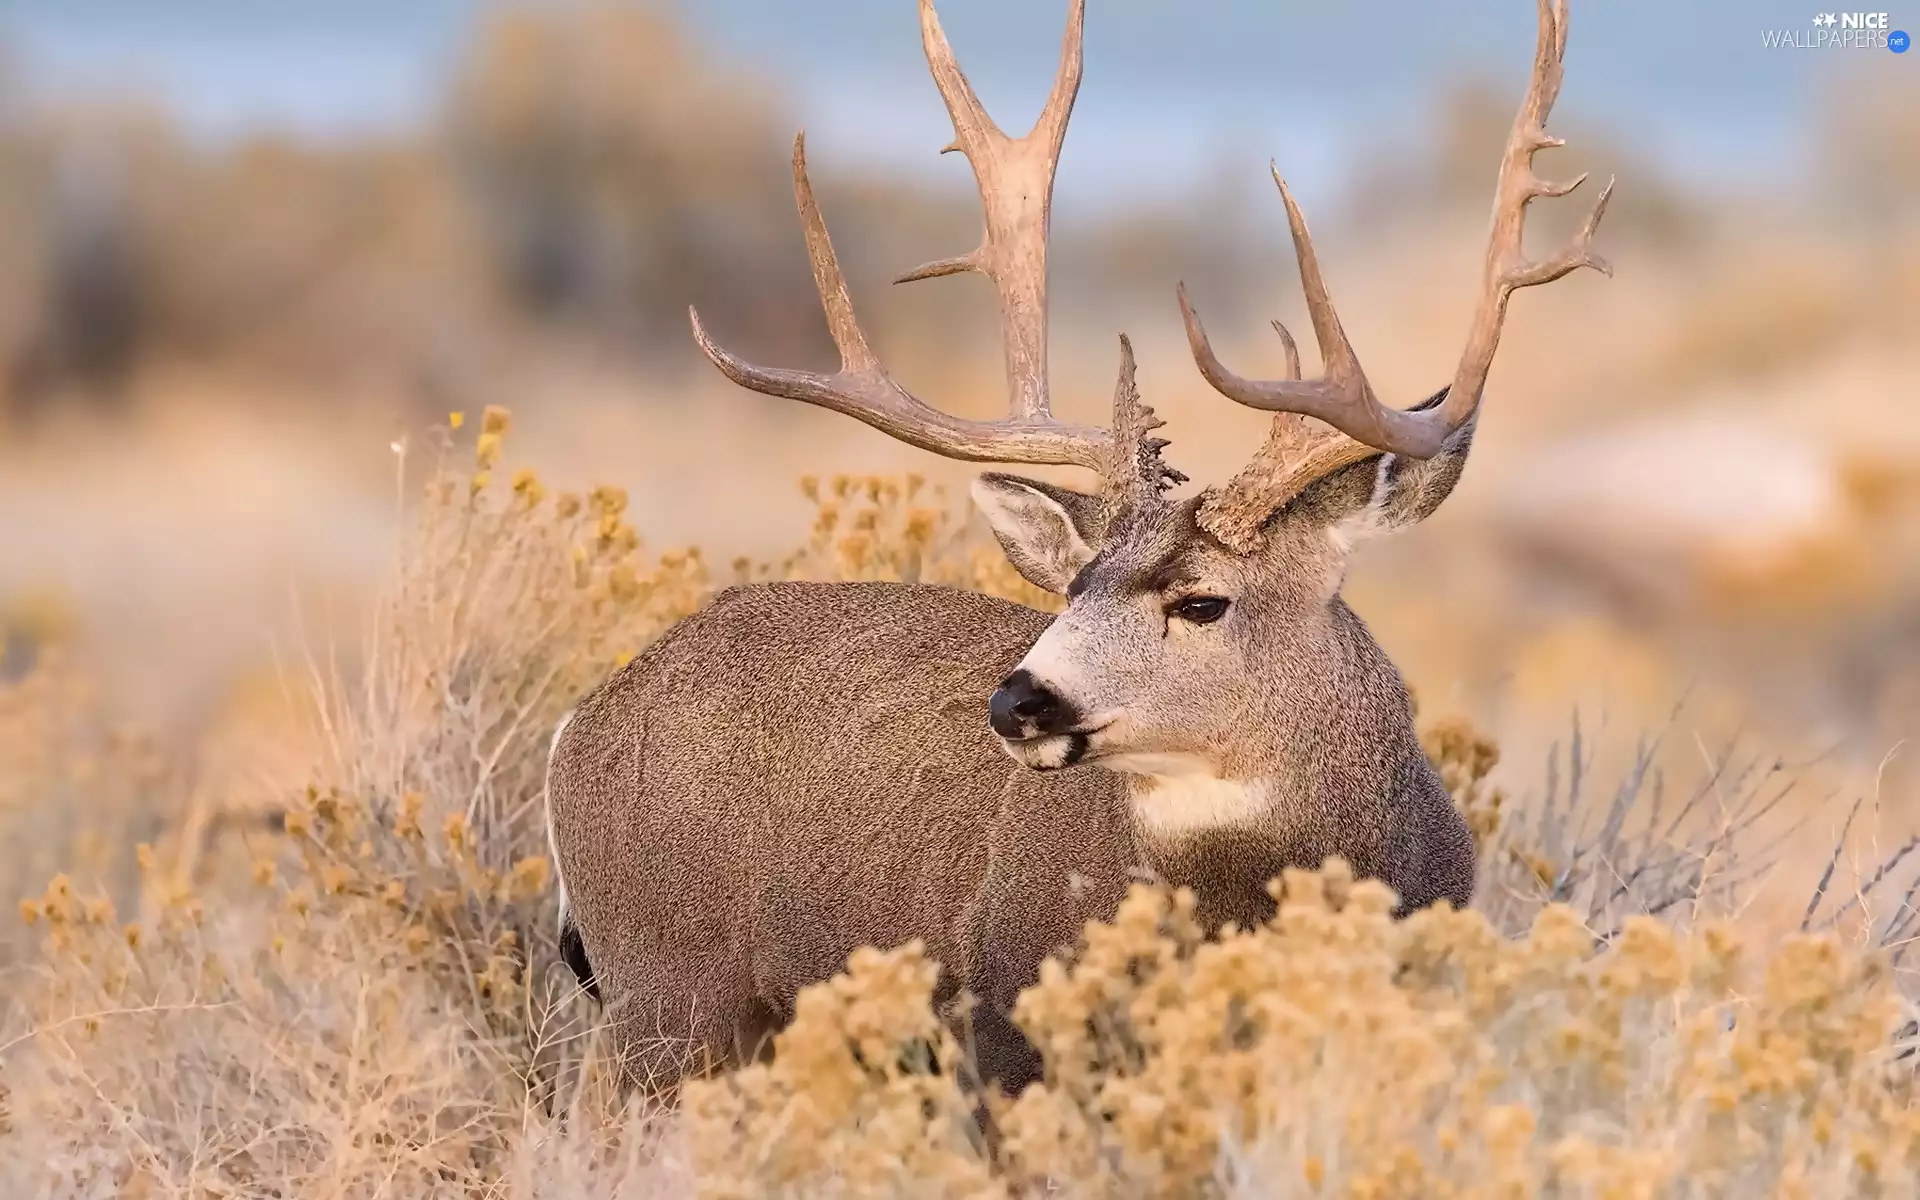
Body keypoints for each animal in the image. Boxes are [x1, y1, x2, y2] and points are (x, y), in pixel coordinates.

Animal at [546, 0, 1611, 1100]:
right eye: (1074, 590)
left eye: (1201, 599)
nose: (1019, 701)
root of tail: (583, 717)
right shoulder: (1003, 1029)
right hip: (665, 995)